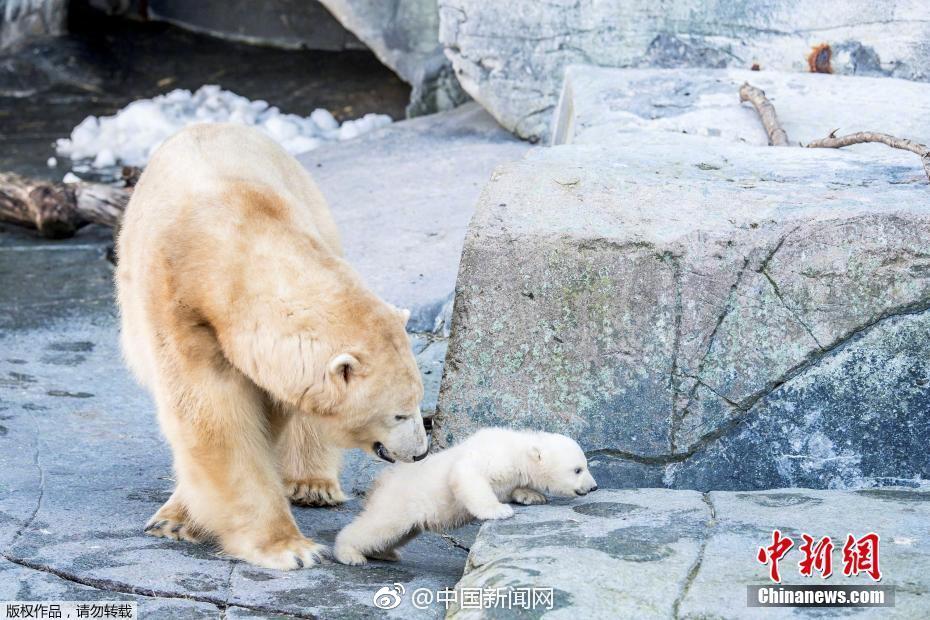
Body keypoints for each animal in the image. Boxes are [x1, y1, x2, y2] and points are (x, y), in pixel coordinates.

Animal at [115, 123, 428, 568]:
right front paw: (290, 549)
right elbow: (215, 420)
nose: (420, 453)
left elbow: (268, 412)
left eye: (418, 402)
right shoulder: (180, 309)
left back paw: (312, 484)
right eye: (399, 413)